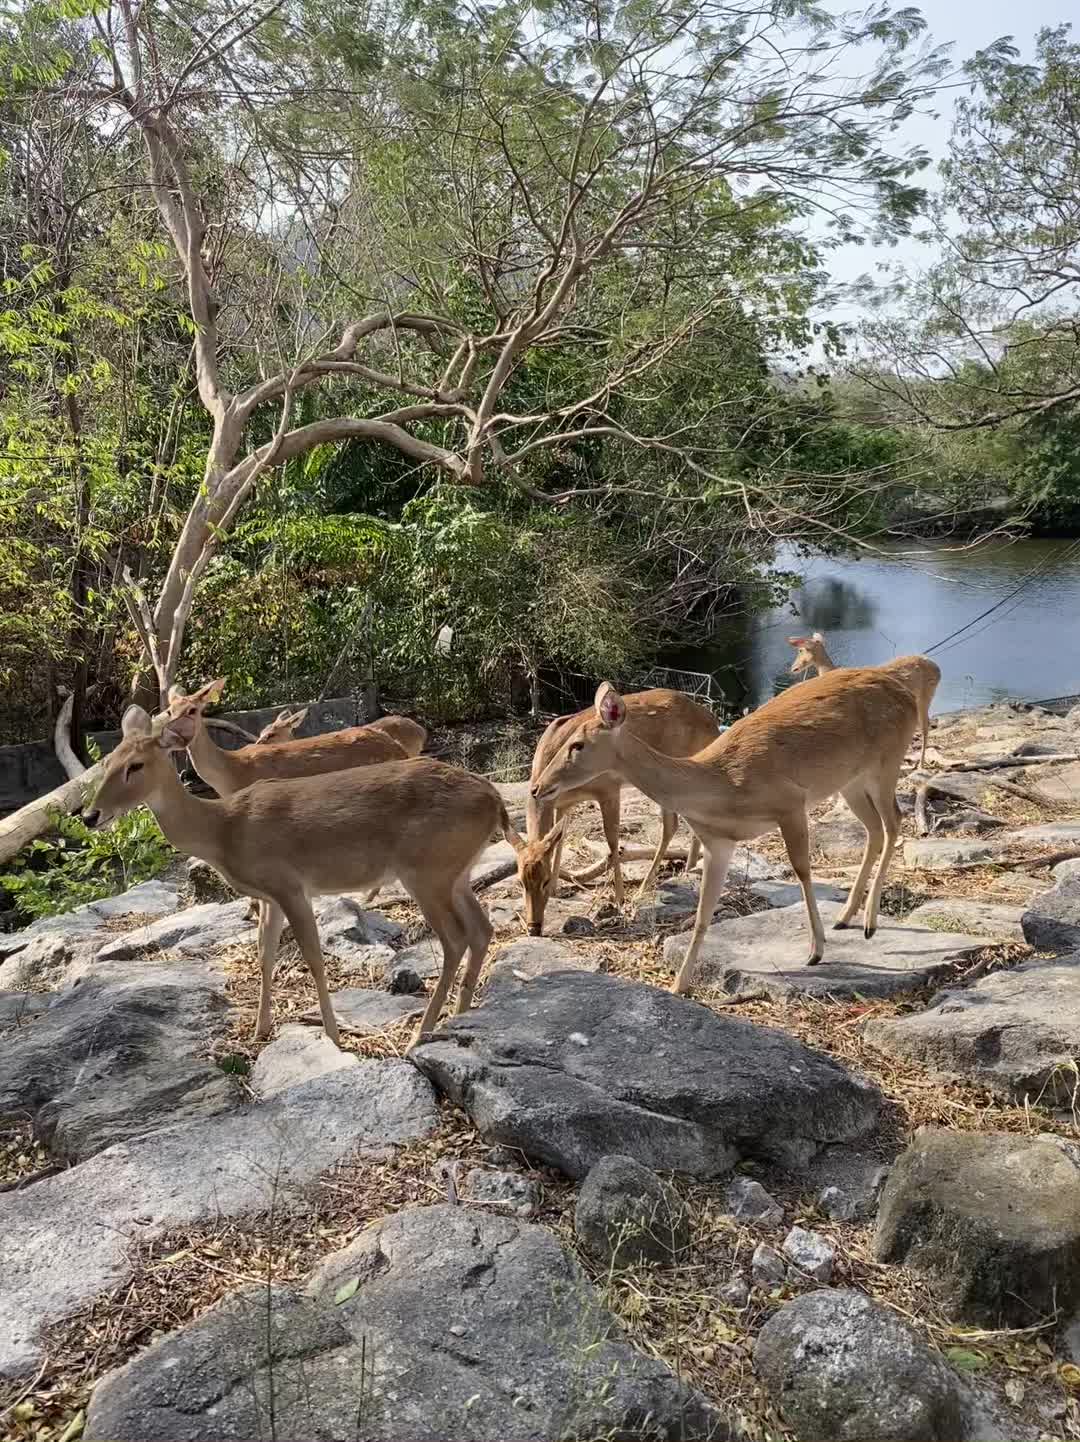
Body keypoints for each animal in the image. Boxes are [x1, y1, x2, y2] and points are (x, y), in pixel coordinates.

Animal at [82, 703, 513, 1044]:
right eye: (106, 763)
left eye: (135, 766)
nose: (89, 815)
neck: (224, 831)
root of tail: (494, 799)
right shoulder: (270, 896)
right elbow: (265, 953)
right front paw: (259, 1030)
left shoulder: (289, 884)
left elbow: (313, 957)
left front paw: (334, 1036)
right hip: (455, 872)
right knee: (481, 928)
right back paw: (459, 1014)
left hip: (427, 871)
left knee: (455, 939)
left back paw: (420, 1034)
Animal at [510, 692, 720, 940]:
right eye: (520, 882)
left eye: (541, 881)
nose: (534, 928)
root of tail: (714, 724)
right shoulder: (562, 804)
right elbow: (559, 841)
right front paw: (556, 889)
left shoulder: (608, 789)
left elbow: (612, 840)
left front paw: (619, 899)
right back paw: (688, 868)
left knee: (674, 823)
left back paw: (647, 886)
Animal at [784, 628, 934, 767]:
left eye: (801, 650)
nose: (793, 668)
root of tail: (936, 667)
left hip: (925, 697)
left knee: (925, 727)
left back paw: (921, 764)